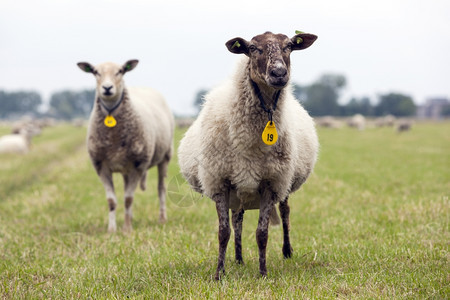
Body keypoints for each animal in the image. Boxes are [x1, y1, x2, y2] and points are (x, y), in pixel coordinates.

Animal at [76, 58, 175, 232]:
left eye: (120, 71)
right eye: (95, 72)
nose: (107, 88)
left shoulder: (138, 165)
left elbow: (128, 198)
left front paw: (127, 230)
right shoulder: (101, 166)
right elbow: (112, 201)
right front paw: (112, 230)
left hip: (165, 155)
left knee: (161, 188)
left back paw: (162, 219)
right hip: (125, 167)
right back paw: (131, 217)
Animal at [178, 31, 318, 278]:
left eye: (289, 46)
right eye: (253, 48)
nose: (279, 73)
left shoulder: (272, 182)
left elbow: (262, 233)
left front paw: (263, 273)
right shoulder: (220, 181)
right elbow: (224, 232)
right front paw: (219, 274)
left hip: (283, 181)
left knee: (285, 211)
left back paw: (286, 251)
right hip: (239, 187)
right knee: (238, 220)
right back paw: (238, 258)